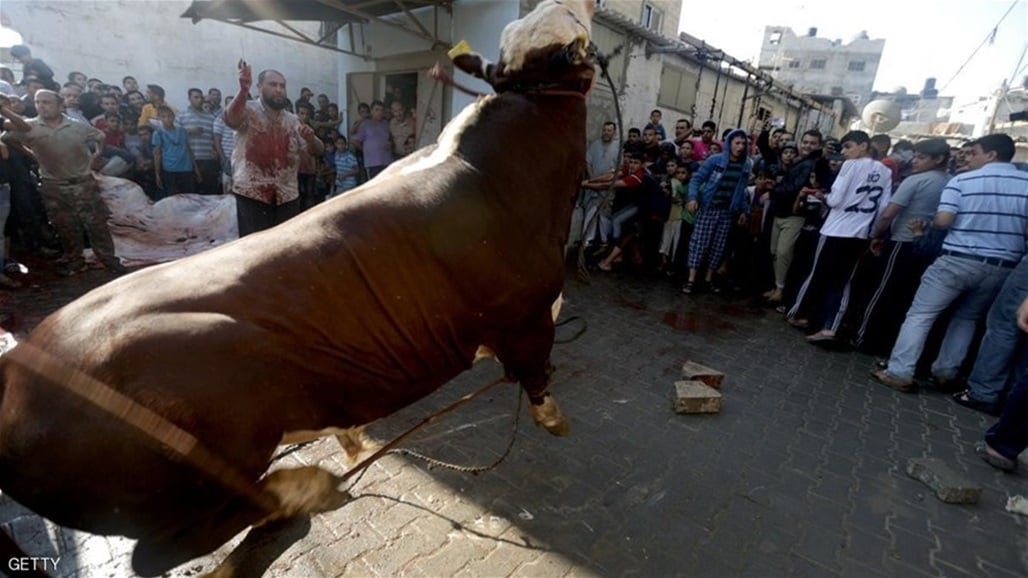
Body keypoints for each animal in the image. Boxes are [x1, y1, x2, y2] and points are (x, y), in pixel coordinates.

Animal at [0, 0, 596, 571]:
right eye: (571, 29)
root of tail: (19, 369)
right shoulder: (527, 312)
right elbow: (537, 374)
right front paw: (553, 417)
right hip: (207, 457)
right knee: (169, 547)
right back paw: (305, 491)